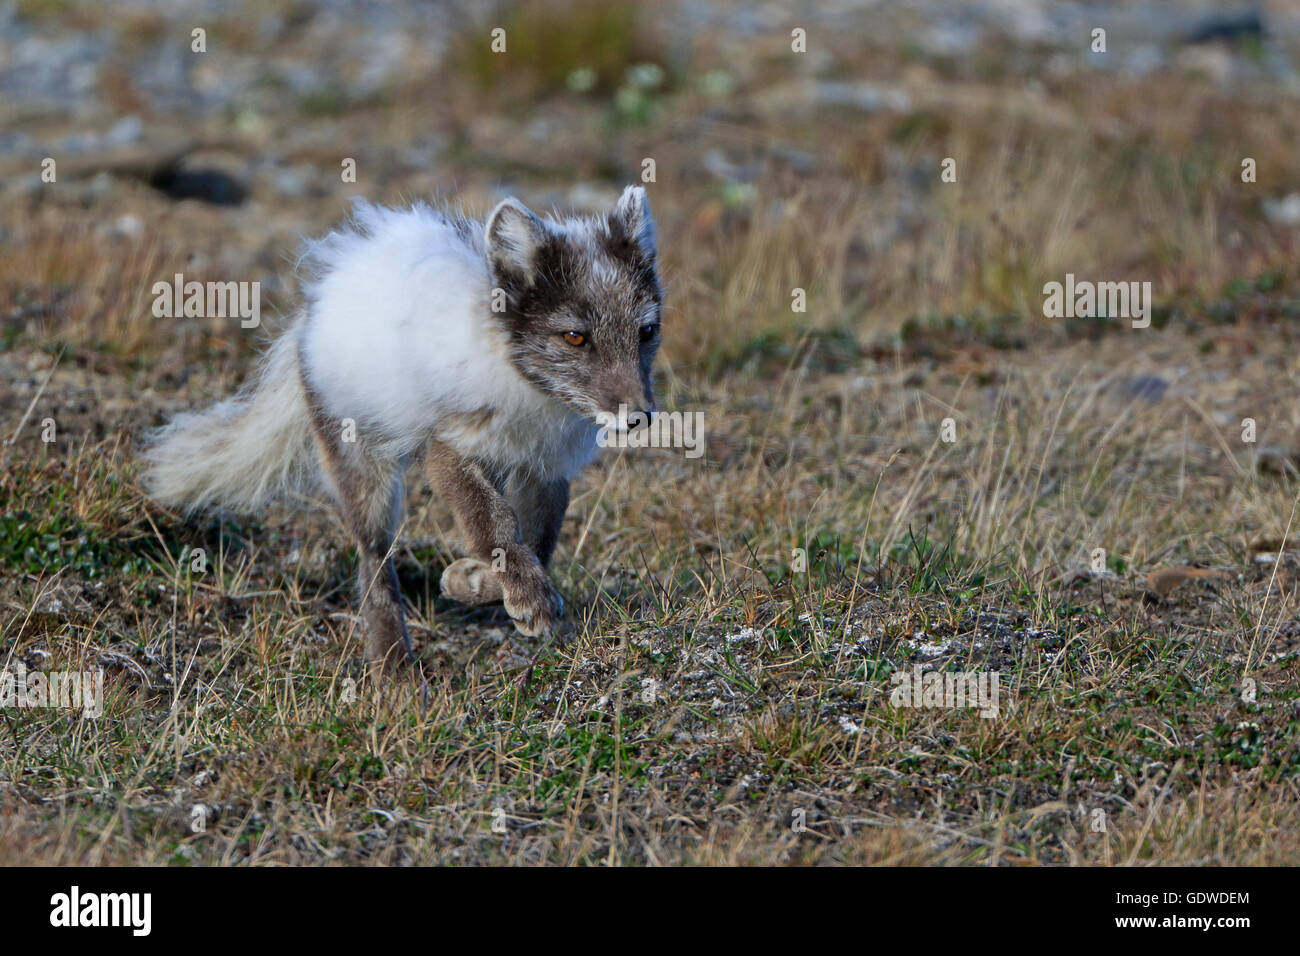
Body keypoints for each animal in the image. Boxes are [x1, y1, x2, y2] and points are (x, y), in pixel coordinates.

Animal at [144, 188, 660, 671]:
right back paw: (393, 666)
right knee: (374, 560)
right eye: (575, 337)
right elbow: (496, 525)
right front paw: (529, 599)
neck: (529, 388)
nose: (639, 417)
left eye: (646, 332)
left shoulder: (545, 469)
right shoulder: (448, 448)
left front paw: (473, 580)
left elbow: (536, 542)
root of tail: (312, 311)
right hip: (364, 470)